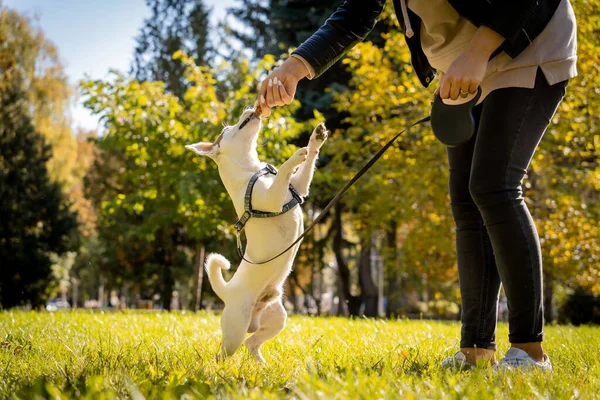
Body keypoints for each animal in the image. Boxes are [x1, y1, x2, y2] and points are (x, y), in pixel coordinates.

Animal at [186, 108, 328, 364]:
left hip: (276, 319)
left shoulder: (299, 188)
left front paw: (316, 139)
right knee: (224, 352)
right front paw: (295, 156)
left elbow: (304, 167)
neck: (252, 170)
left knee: (252, 343)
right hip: (235, 330)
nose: (249, 108)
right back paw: (216, 368)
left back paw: (262, 364)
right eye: (226, 129)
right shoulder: (272, 199)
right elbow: (284, 171)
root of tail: (227, 291)